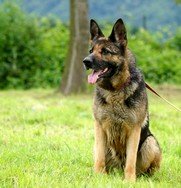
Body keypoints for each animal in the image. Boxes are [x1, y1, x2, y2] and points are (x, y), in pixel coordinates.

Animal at [82, 18, 162, 181]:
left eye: (105, 51)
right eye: (91, 51)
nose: (85, 61)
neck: (115, 90)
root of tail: (118, 168)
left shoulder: (134, 130)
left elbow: (130, 160)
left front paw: (129, 181)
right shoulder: (99, 127)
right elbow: (99, 158)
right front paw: (99, 176)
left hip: (150, 143)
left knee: (146, 168)